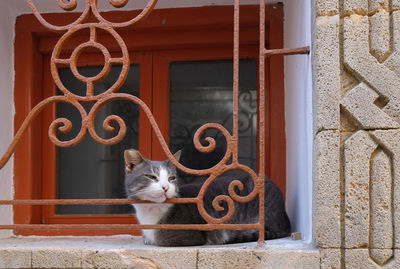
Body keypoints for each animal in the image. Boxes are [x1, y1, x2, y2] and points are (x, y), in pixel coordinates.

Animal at [124, 148, 290, 246]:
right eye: (152, 177)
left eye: (171, 178)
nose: (166, 187)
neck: (150, 211)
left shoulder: (186, 237)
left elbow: (161, 241)